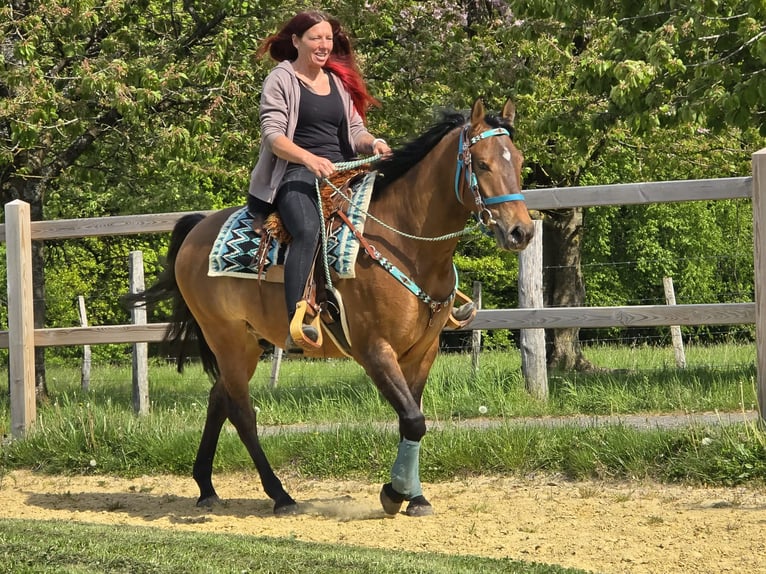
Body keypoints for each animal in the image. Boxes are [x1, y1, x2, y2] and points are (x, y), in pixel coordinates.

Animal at [124, 98, 534, 517]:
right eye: (482, 164)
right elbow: (413, 419)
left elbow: (413, 419)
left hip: (248, 344)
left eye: (518, 161)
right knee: (241, 412)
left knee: (218, 399)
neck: (404, 244)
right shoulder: (374, 350)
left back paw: (206, 486)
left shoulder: (424, 350)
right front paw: (394, 493)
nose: (521, 231)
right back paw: (280, 495)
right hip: (228, 340)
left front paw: (415, 496)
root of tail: (197, 229)